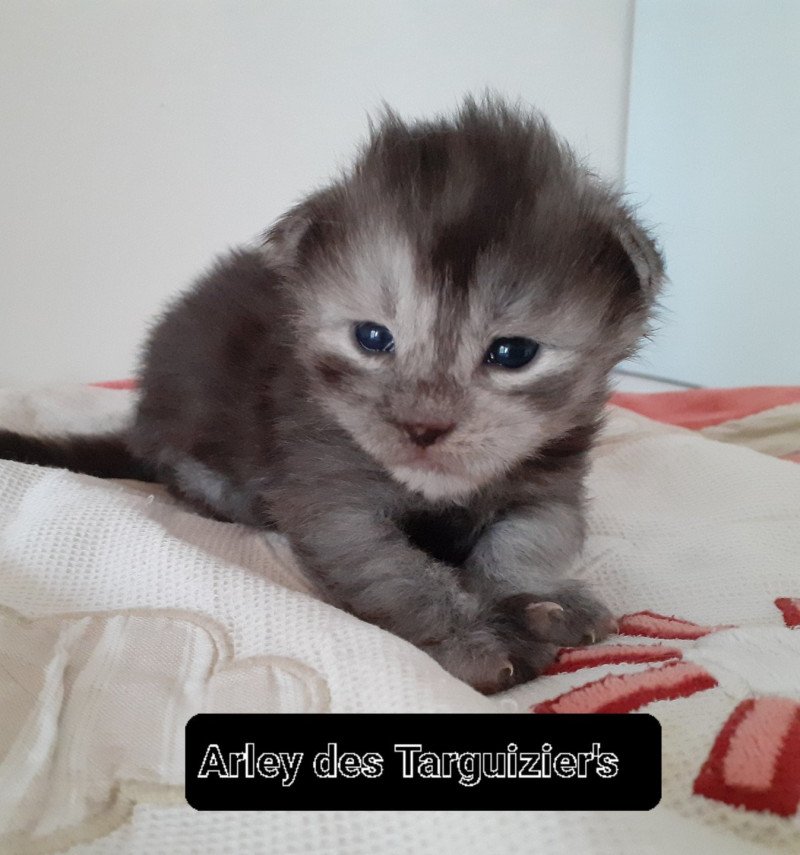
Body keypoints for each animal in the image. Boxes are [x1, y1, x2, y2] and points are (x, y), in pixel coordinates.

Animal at [0, 97, 664, 696]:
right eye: (372, 338)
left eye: (513, 354)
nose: (423, 427)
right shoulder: (330, 498)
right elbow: (397, 573)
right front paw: (468, 639)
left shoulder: (552, 482)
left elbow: (531, 540)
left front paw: (539, 600)